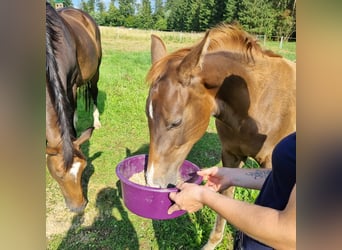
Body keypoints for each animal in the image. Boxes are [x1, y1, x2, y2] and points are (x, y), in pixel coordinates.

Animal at [45, 1, 101, 213]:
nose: (80, 207)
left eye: (84, 169)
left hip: (93, 74)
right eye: (59, 175)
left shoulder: (69, 85)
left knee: (93, 93)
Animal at [146, 24, 296, 249]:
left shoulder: (270, 164)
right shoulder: (230, 156)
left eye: (176, 122)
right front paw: (212, 242)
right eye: (147, 115)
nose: (152, 182)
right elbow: (225, 196)